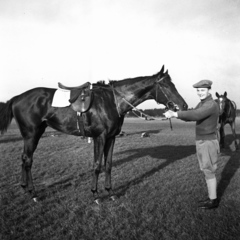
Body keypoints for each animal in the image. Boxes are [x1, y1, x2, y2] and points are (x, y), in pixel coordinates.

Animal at [0, 64, 188, 202]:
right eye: (165, 85)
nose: (183, 106)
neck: (112, 101)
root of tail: (16, 98)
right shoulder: (100, 137)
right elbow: (97, 165)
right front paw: (95, 194)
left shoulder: (111, 138)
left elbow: (108, 165)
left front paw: (110, 192)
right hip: (32, 134)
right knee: (28, 160)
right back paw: (33, 193)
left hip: (34, 134)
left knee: (24, 158)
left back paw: (25, 188)